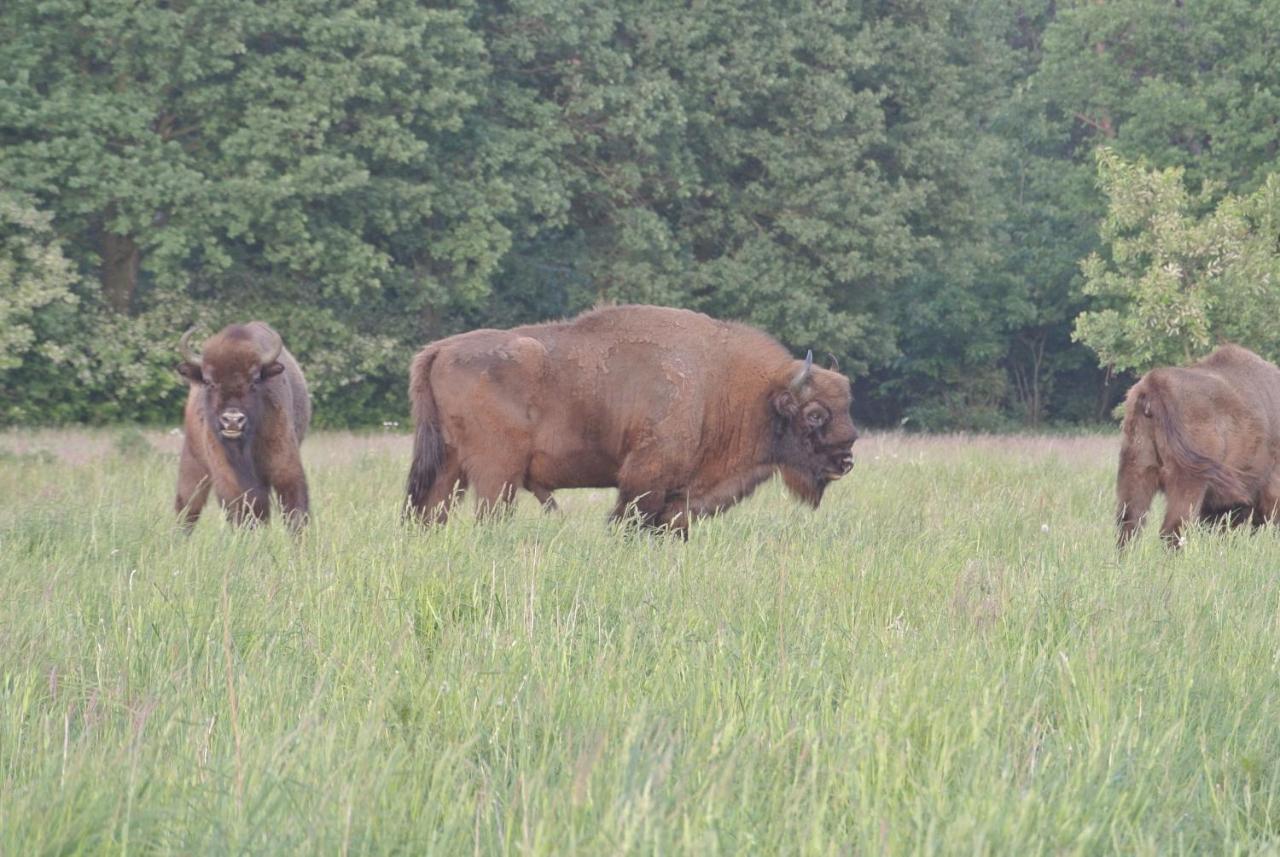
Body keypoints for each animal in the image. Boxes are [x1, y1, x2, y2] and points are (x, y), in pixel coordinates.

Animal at [174, 326, 311, 534]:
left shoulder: (286, 466)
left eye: (254, 381)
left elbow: (294, 512)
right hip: (193, 464)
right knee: (188, 508)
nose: (232, 420)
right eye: (208, 381)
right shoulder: (229, 477)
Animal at [404, 304, 855, 537]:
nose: (846, 460)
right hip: (497, 473)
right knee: (488, 514)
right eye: (815, 414)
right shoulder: (645, 479)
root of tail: (439, 349)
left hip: (448, 466)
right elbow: (628, 520)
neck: (721, 384)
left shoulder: (678, 498)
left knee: (429, 511)